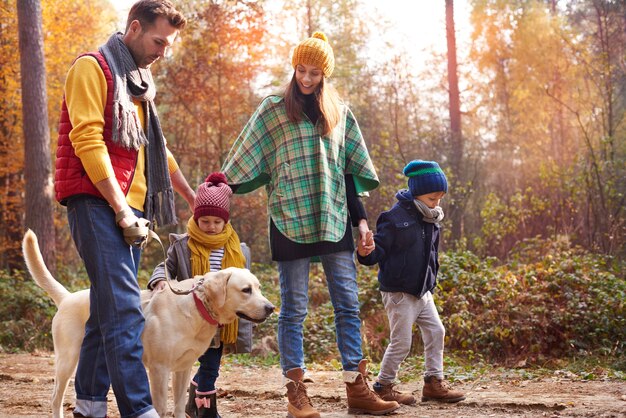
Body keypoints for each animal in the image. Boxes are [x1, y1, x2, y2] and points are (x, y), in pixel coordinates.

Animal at [21, 230, 272, 418]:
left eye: (259, 287)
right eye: (246, 290)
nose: (271, 308)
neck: (196, 305)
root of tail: (67, 297)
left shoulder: (182, 368)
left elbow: (178, 406)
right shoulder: (159, 369)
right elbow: (161, 407)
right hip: (67, 359)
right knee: (56, 398)